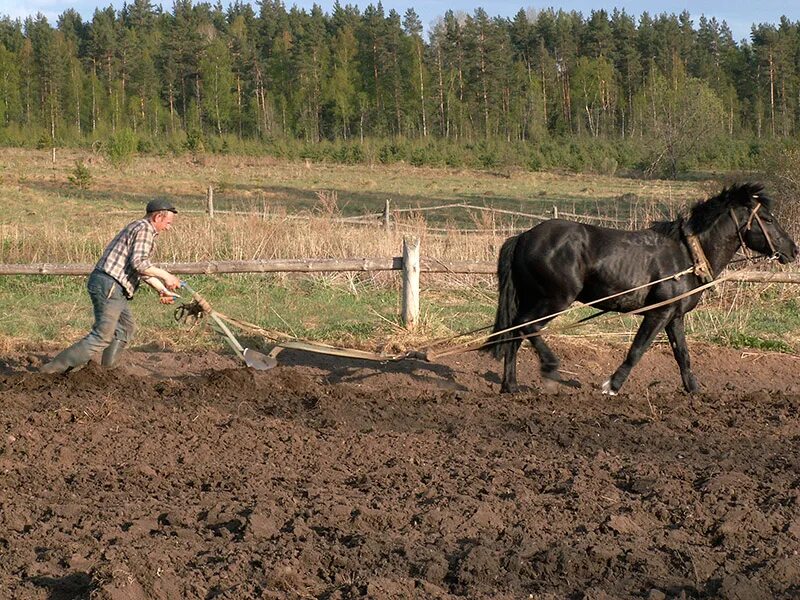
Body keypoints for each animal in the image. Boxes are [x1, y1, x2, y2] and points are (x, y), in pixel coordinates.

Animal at [484, 185, 796, 396]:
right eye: (768, 219)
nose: (793, 250)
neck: (686, 255)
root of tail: (524, 236)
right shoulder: (658, 313)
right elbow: (637, 350)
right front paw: (612, 385)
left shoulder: (674, 316)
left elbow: (682, 355)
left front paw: (694, 389)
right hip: (555, 299)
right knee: (527, 327)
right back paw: (549, 367)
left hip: (533, 298)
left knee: (514, 333)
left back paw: (510, 386)